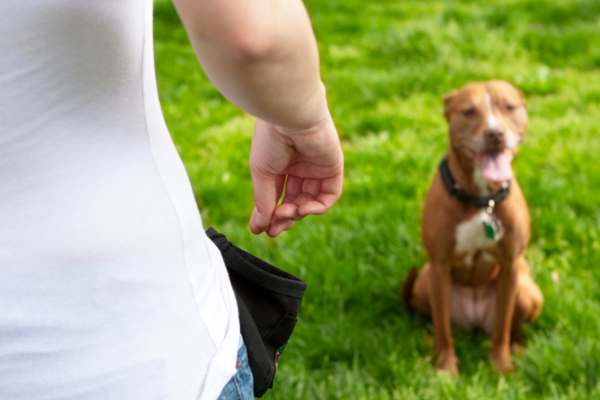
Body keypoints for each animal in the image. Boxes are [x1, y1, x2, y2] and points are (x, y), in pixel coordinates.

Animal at [404, 80, 544, 376]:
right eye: (468, 111)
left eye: (509, 107)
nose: (495, 133)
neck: (482, 199)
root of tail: (475, 321)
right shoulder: (440, 265)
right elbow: (444, 330)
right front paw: (446, 370)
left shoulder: (510, 265)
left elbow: (502, 327)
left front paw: (501, 366)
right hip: (425, 281)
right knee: (438, 321)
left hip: (528, 290)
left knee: (512, 326)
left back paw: (518, 349)